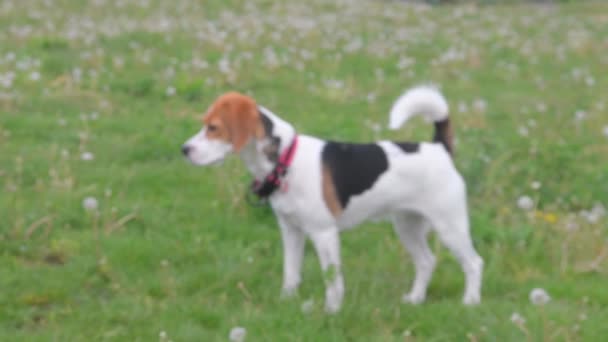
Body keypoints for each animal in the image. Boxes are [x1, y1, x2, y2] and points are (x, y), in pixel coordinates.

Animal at [182, 85, 484, 312]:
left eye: (213, 127)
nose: (184, 149)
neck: (286, 160)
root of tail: (439, 148)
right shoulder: (291, 231)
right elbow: (290, 273)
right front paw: (286, 302)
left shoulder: (323, 233)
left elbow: (333, 280)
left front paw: (331, 311)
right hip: (407, 225)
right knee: (426, 261)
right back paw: (415, 299)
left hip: (450, 225)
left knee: (473, 263)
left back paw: (470, 302)